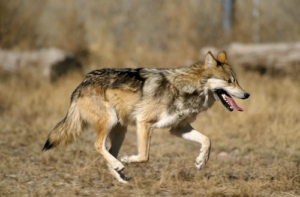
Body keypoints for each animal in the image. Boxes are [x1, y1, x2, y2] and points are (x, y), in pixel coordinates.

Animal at [41, 51, 248, 183]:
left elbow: (207, 140)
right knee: (98, 146)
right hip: (110, 122)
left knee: (108, 151)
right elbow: (144, 156)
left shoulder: (178, 128)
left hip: (120, 130)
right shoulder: (144, 123)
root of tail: (82, 82)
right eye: (230, 81)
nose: (247, 95)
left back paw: (121, 177)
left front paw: (201, 161)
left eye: (237, 81)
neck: (187, 89)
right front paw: (127, 159)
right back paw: (119, 164)